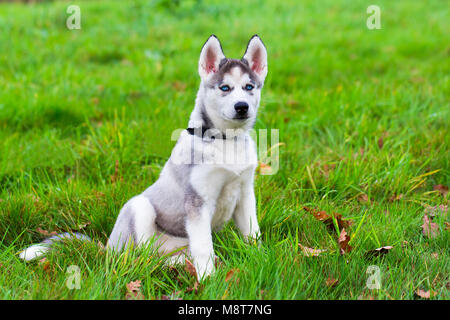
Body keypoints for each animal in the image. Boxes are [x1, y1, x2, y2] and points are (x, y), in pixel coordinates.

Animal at [18, 34, 268, 280]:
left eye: (249, 87)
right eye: (225, 87)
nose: (242, 106)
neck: (226, 141)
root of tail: (107, 248)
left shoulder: (245, 192)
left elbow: (252, 232)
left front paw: (259, 259)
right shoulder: (197, 201)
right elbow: (203, 246)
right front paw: (208, 280)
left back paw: (177, 264)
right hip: (139, 207)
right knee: (141, 258)